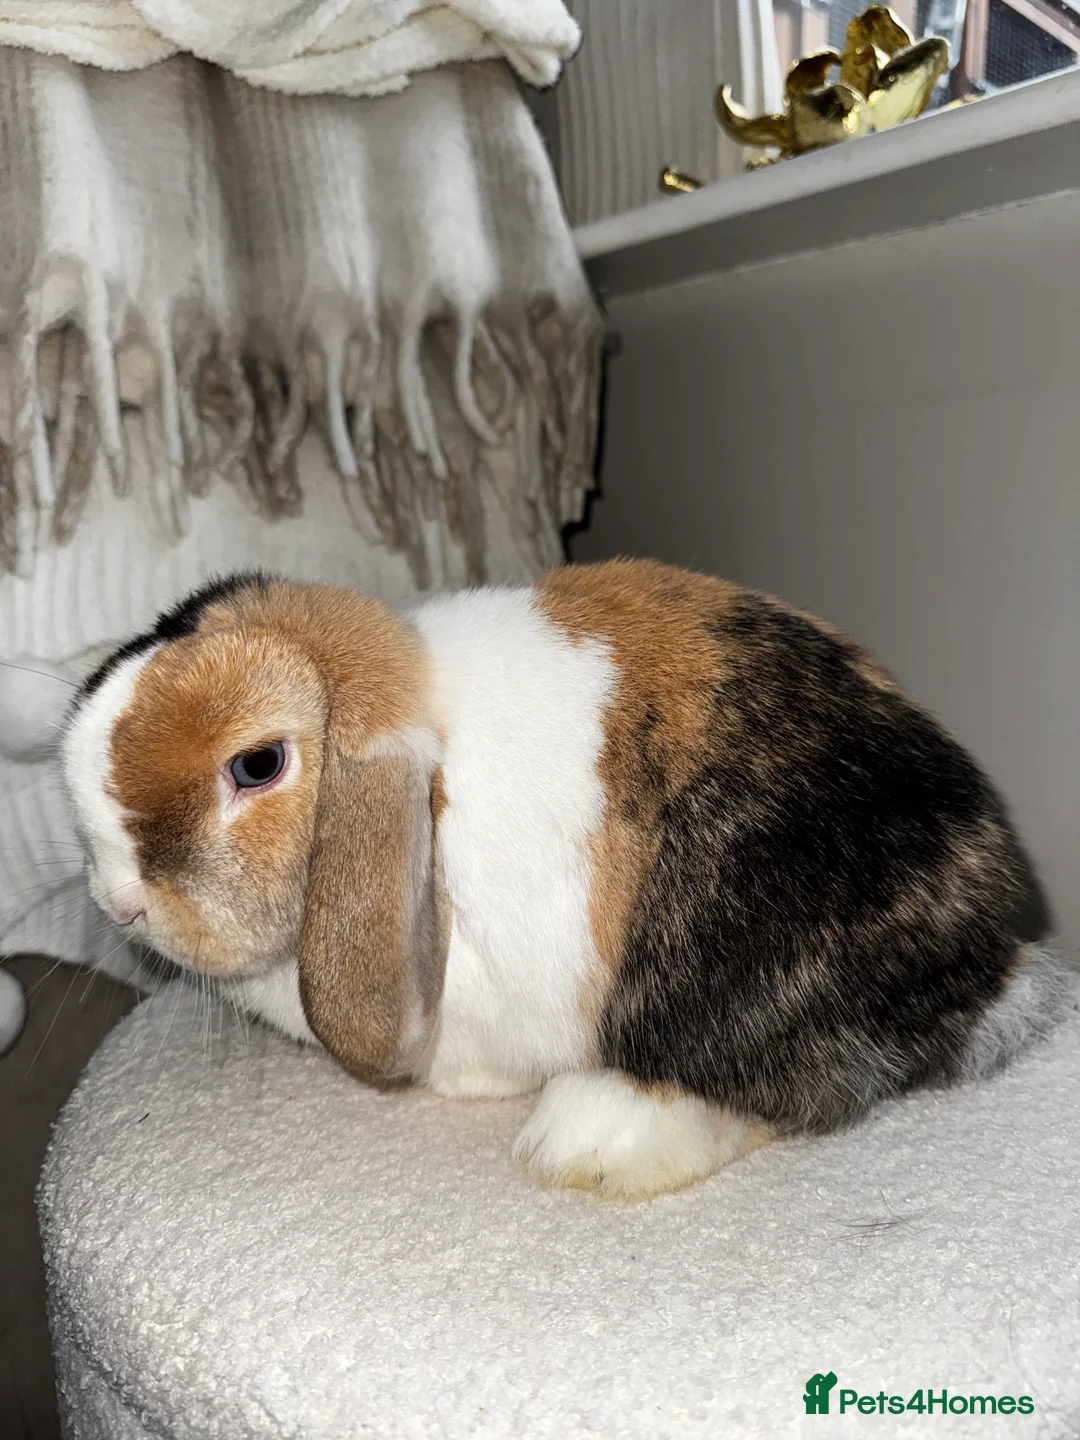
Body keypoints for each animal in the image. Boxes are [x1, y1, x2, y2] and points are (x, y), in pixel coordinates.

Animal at [60, 560, 1074, 1200]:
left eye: (259, 764)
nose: (121, 904)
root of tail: (999, 965)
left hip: (726, 970)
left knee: (794, 1090)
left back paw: (588, 1138)